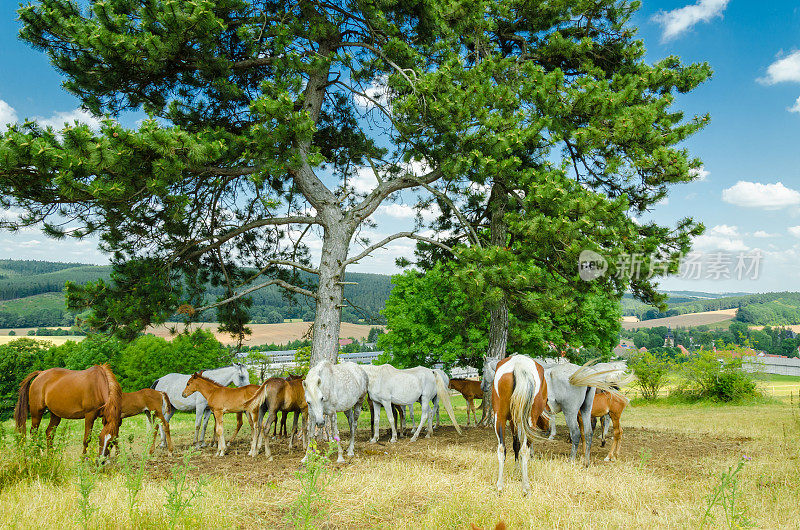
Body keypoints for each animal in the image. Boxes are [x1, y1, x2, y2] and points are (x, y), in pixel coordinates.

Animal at [490, 352, 548, 492]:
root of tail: (519, 364)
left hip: (499, 417)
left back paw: (500, 485)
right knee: (524, 449)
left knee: (501, 449)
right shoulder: (517, 421)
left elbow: (515, 444)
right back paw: (525, 486)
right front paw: (519, 471)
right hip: (529, 420)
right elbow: (518, 444)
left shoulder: (512, 420)